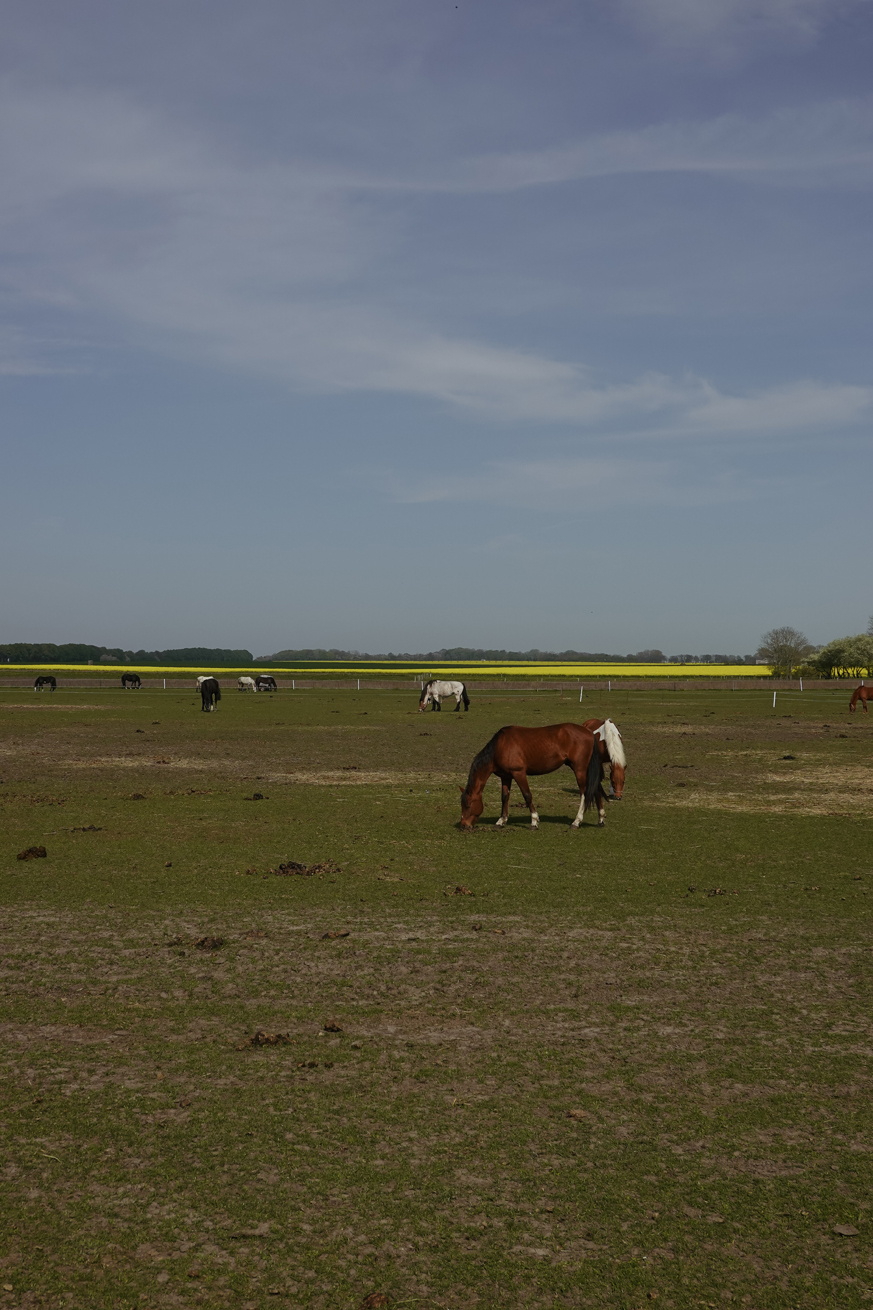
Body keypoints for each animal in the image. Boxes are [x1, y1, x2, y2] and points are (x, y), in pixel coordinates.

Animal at [458, 723, 602, 833]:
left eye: (468, 804)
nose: (463, 825)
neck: (500, 746)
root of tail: (588, 732)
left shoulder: (519, 773)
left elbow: (527, 795)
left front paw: (534, 821)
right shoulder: (506, 777)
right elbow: (505, 797)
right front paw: (501, 821)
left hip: (580, 770)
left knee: (584, 793)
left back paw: (576, 821)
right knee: (596, 789)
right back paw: (601, 819)